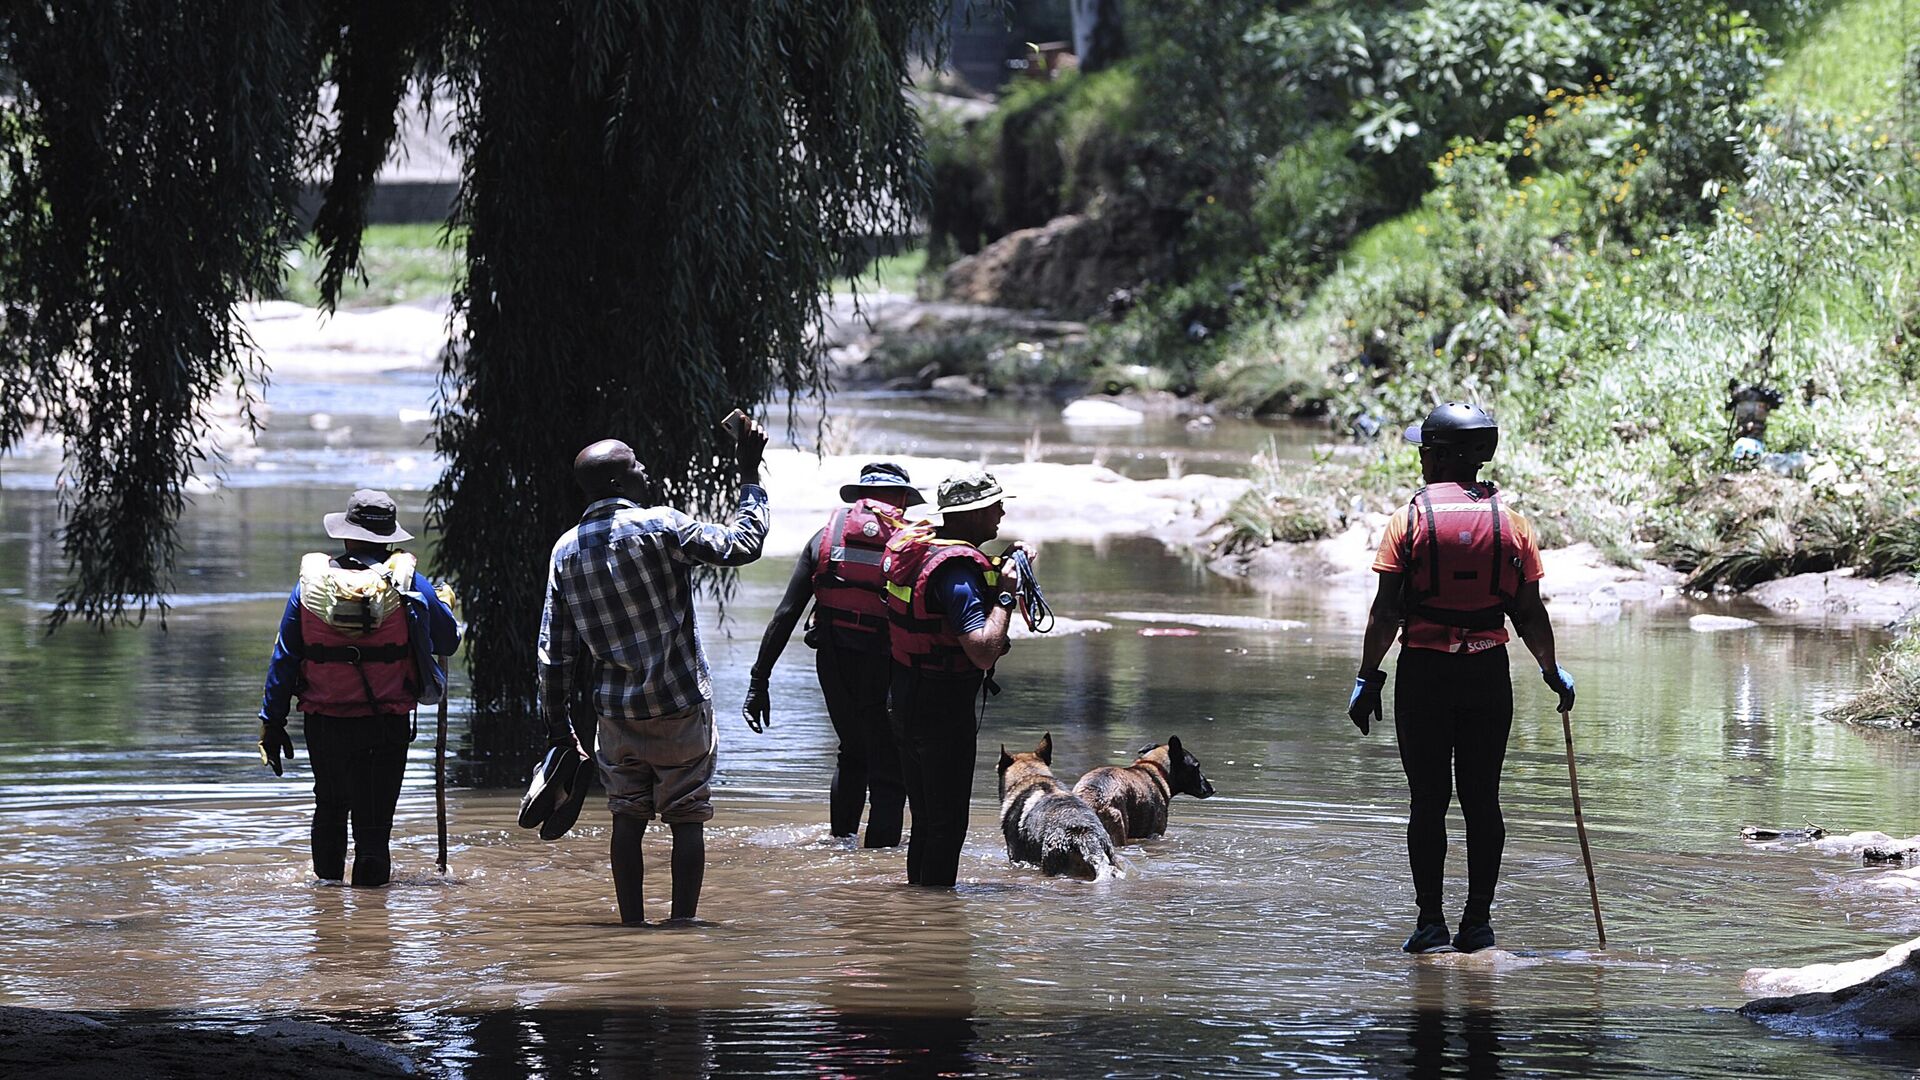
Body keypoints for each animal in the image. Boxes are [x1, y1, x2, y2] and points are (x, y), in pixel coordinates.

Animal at [1067, 730, 1213, 849]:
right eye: (1196, 766)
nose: (1212, 789)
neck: (1156, 768)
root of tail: (1092, 798)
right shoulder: (1156, 833)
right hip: (1118, 831)